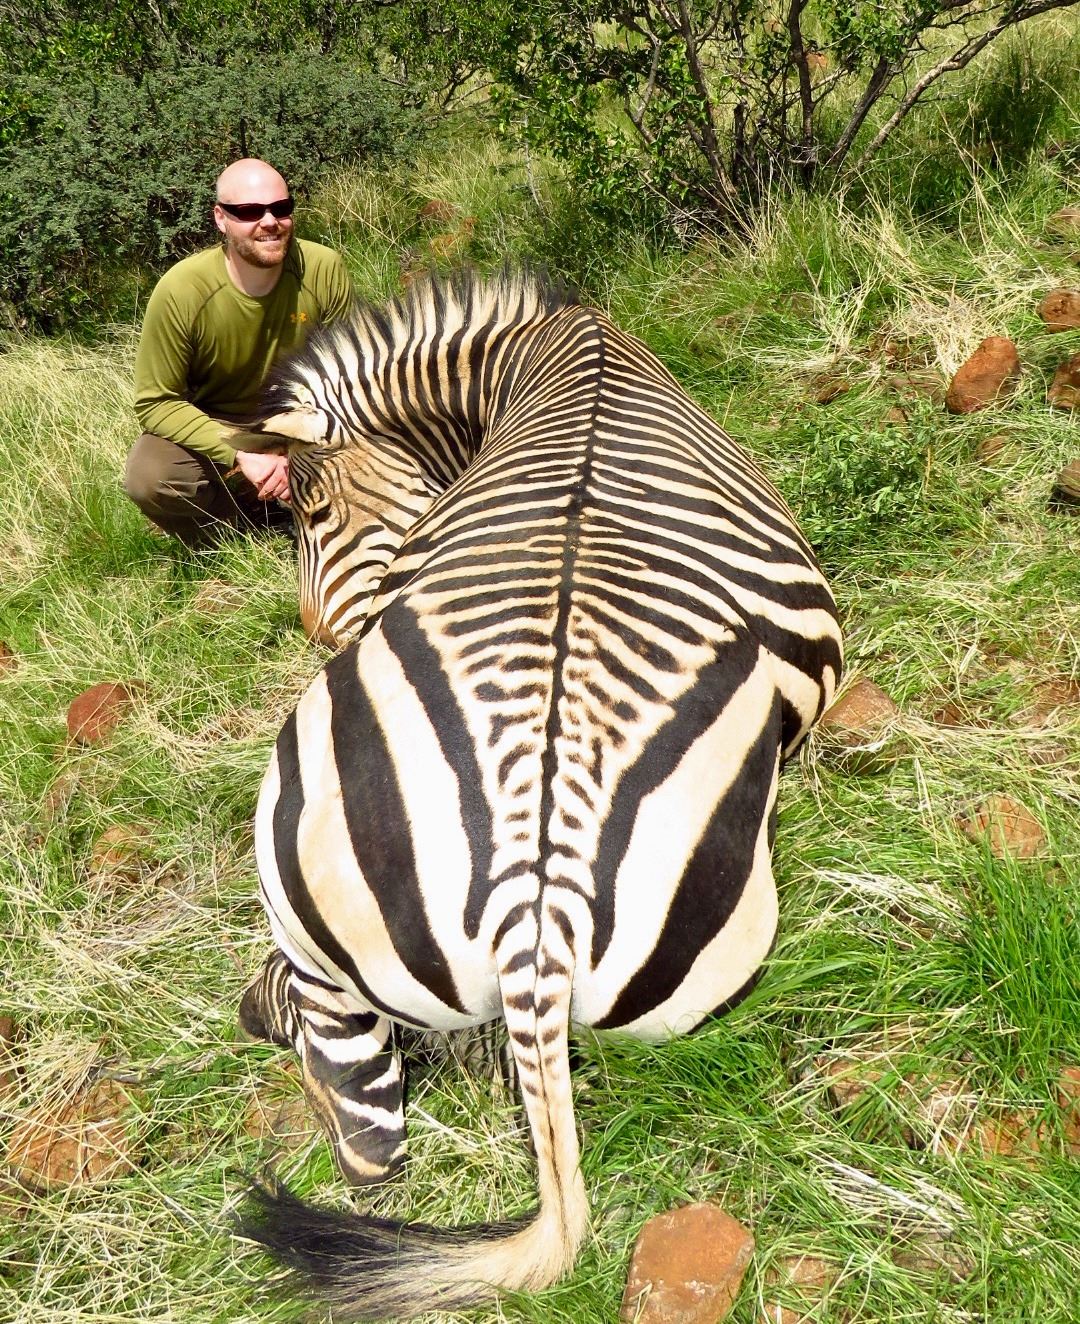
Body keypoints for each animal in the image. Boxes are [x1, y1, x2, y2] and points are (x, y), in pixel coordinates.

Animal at [236, 270, 843, 1320]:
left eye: (310, 514)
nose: (316, 632)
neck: (546, 342)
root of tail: (536, 915)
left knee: (365, 1134)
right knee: (365, 1145)